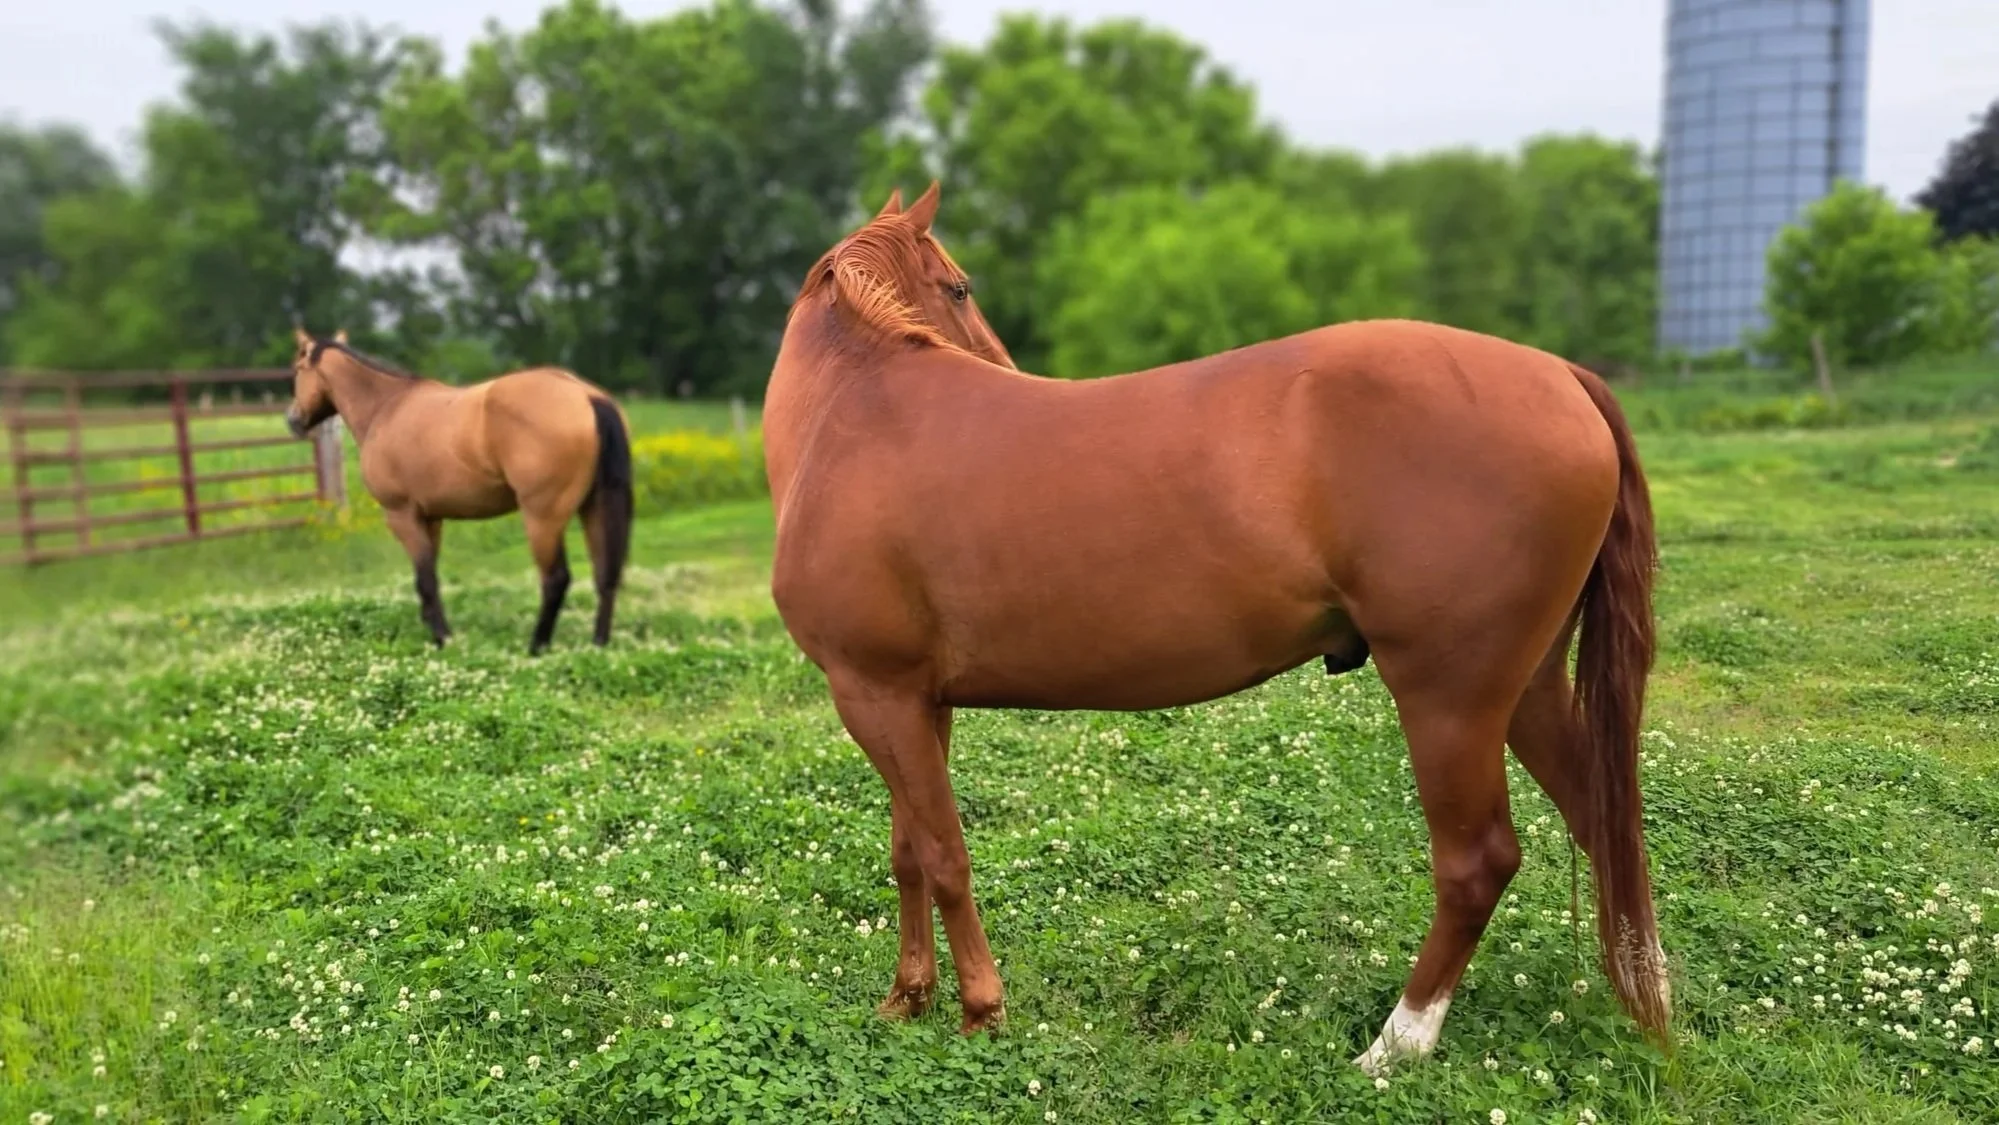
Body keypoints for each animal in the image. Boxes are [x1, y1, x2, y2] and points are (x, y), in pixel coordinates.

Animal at [284, 329, 634, 655]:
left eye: (298, 368)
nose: (293, 419)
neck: (386, 407)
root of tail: (585, 395)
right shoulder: (431, 519)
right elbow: (429, 576)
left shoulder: (402, 515)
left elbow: (425, 579)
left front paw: (443, 638)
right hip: (593, 508)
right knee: (606, 575)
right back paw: (599, 644)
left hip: (542, 517)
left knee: (555, 578)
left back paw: (537, 646)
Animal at [760, 182, 1672, 1072]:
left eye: (959, 285)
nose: (1007, 364)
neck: (855, 420)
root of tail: (1560, 374)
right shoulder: (912, 701)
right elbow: (910, 851)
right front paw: (907, 998)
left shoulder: (875, 694)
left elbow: (946, 856)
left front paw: (981, 1011)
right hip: (1523, 689)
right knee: (1602, 820)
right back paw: (1648, 1000)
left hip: (1449, 698)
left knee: (1477, 861)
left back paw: (1396, 1042)